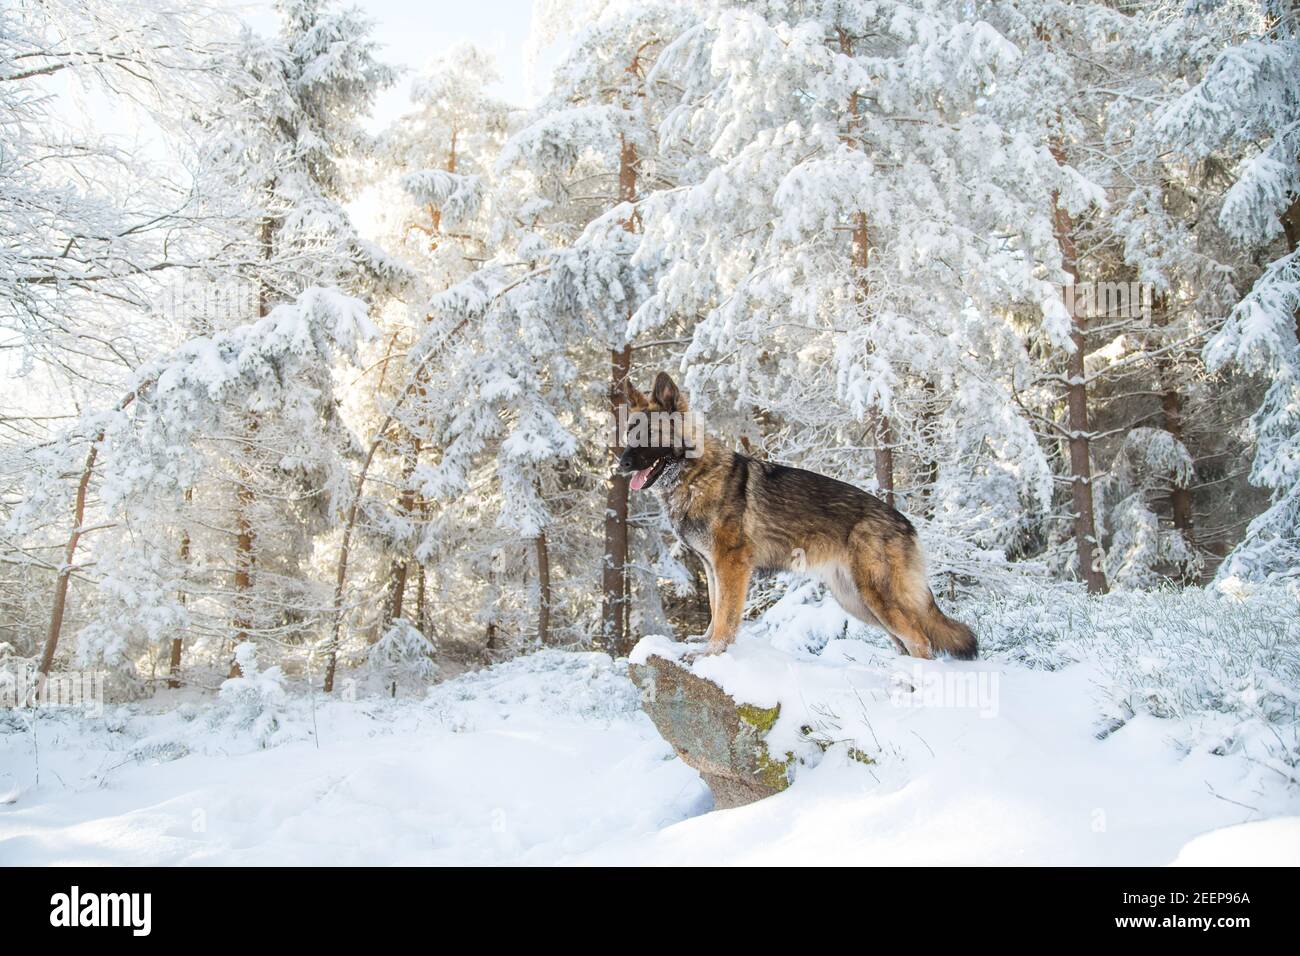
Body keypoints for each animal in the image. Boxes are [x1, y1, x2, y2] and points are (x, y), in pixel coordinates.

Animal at [618, 369, 977, 660]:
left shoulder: (731, 565)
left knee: (920, 640)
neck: (695, 476)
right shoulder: (712, 568)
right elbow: (715, 606)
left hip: (876, 596)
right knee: (906, 642)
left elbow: (726, 616)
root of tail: (908, 523)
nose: (620, 464)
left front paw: (711, 653)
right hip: (857, 601)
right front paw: (703, 642)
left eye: (647, 435)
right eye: (628, 434)